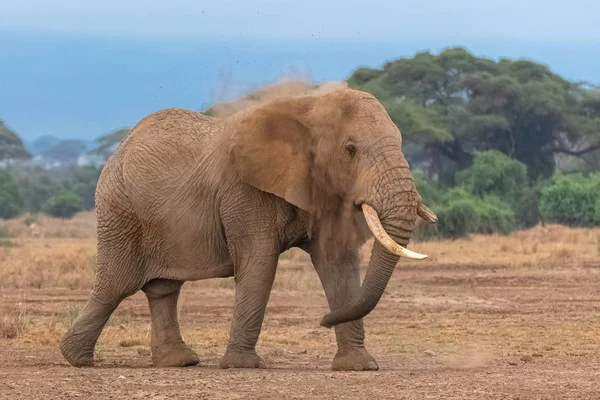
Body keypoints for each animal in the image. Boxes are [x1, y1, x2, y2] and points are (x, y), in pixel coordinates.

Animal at [59, 87, 436, 372]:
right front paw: (243, 365)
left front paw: (358, 366)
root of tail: (119, 149)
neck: (309, 105)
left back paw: (179, 362)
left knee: (163, 288)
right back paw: (76, 359)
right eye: (351, 149)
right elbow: (259, 265)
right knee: (116, 285)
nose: (322, 320)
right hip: (119, 211)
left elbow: (338, 266)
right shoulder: (243, 191)